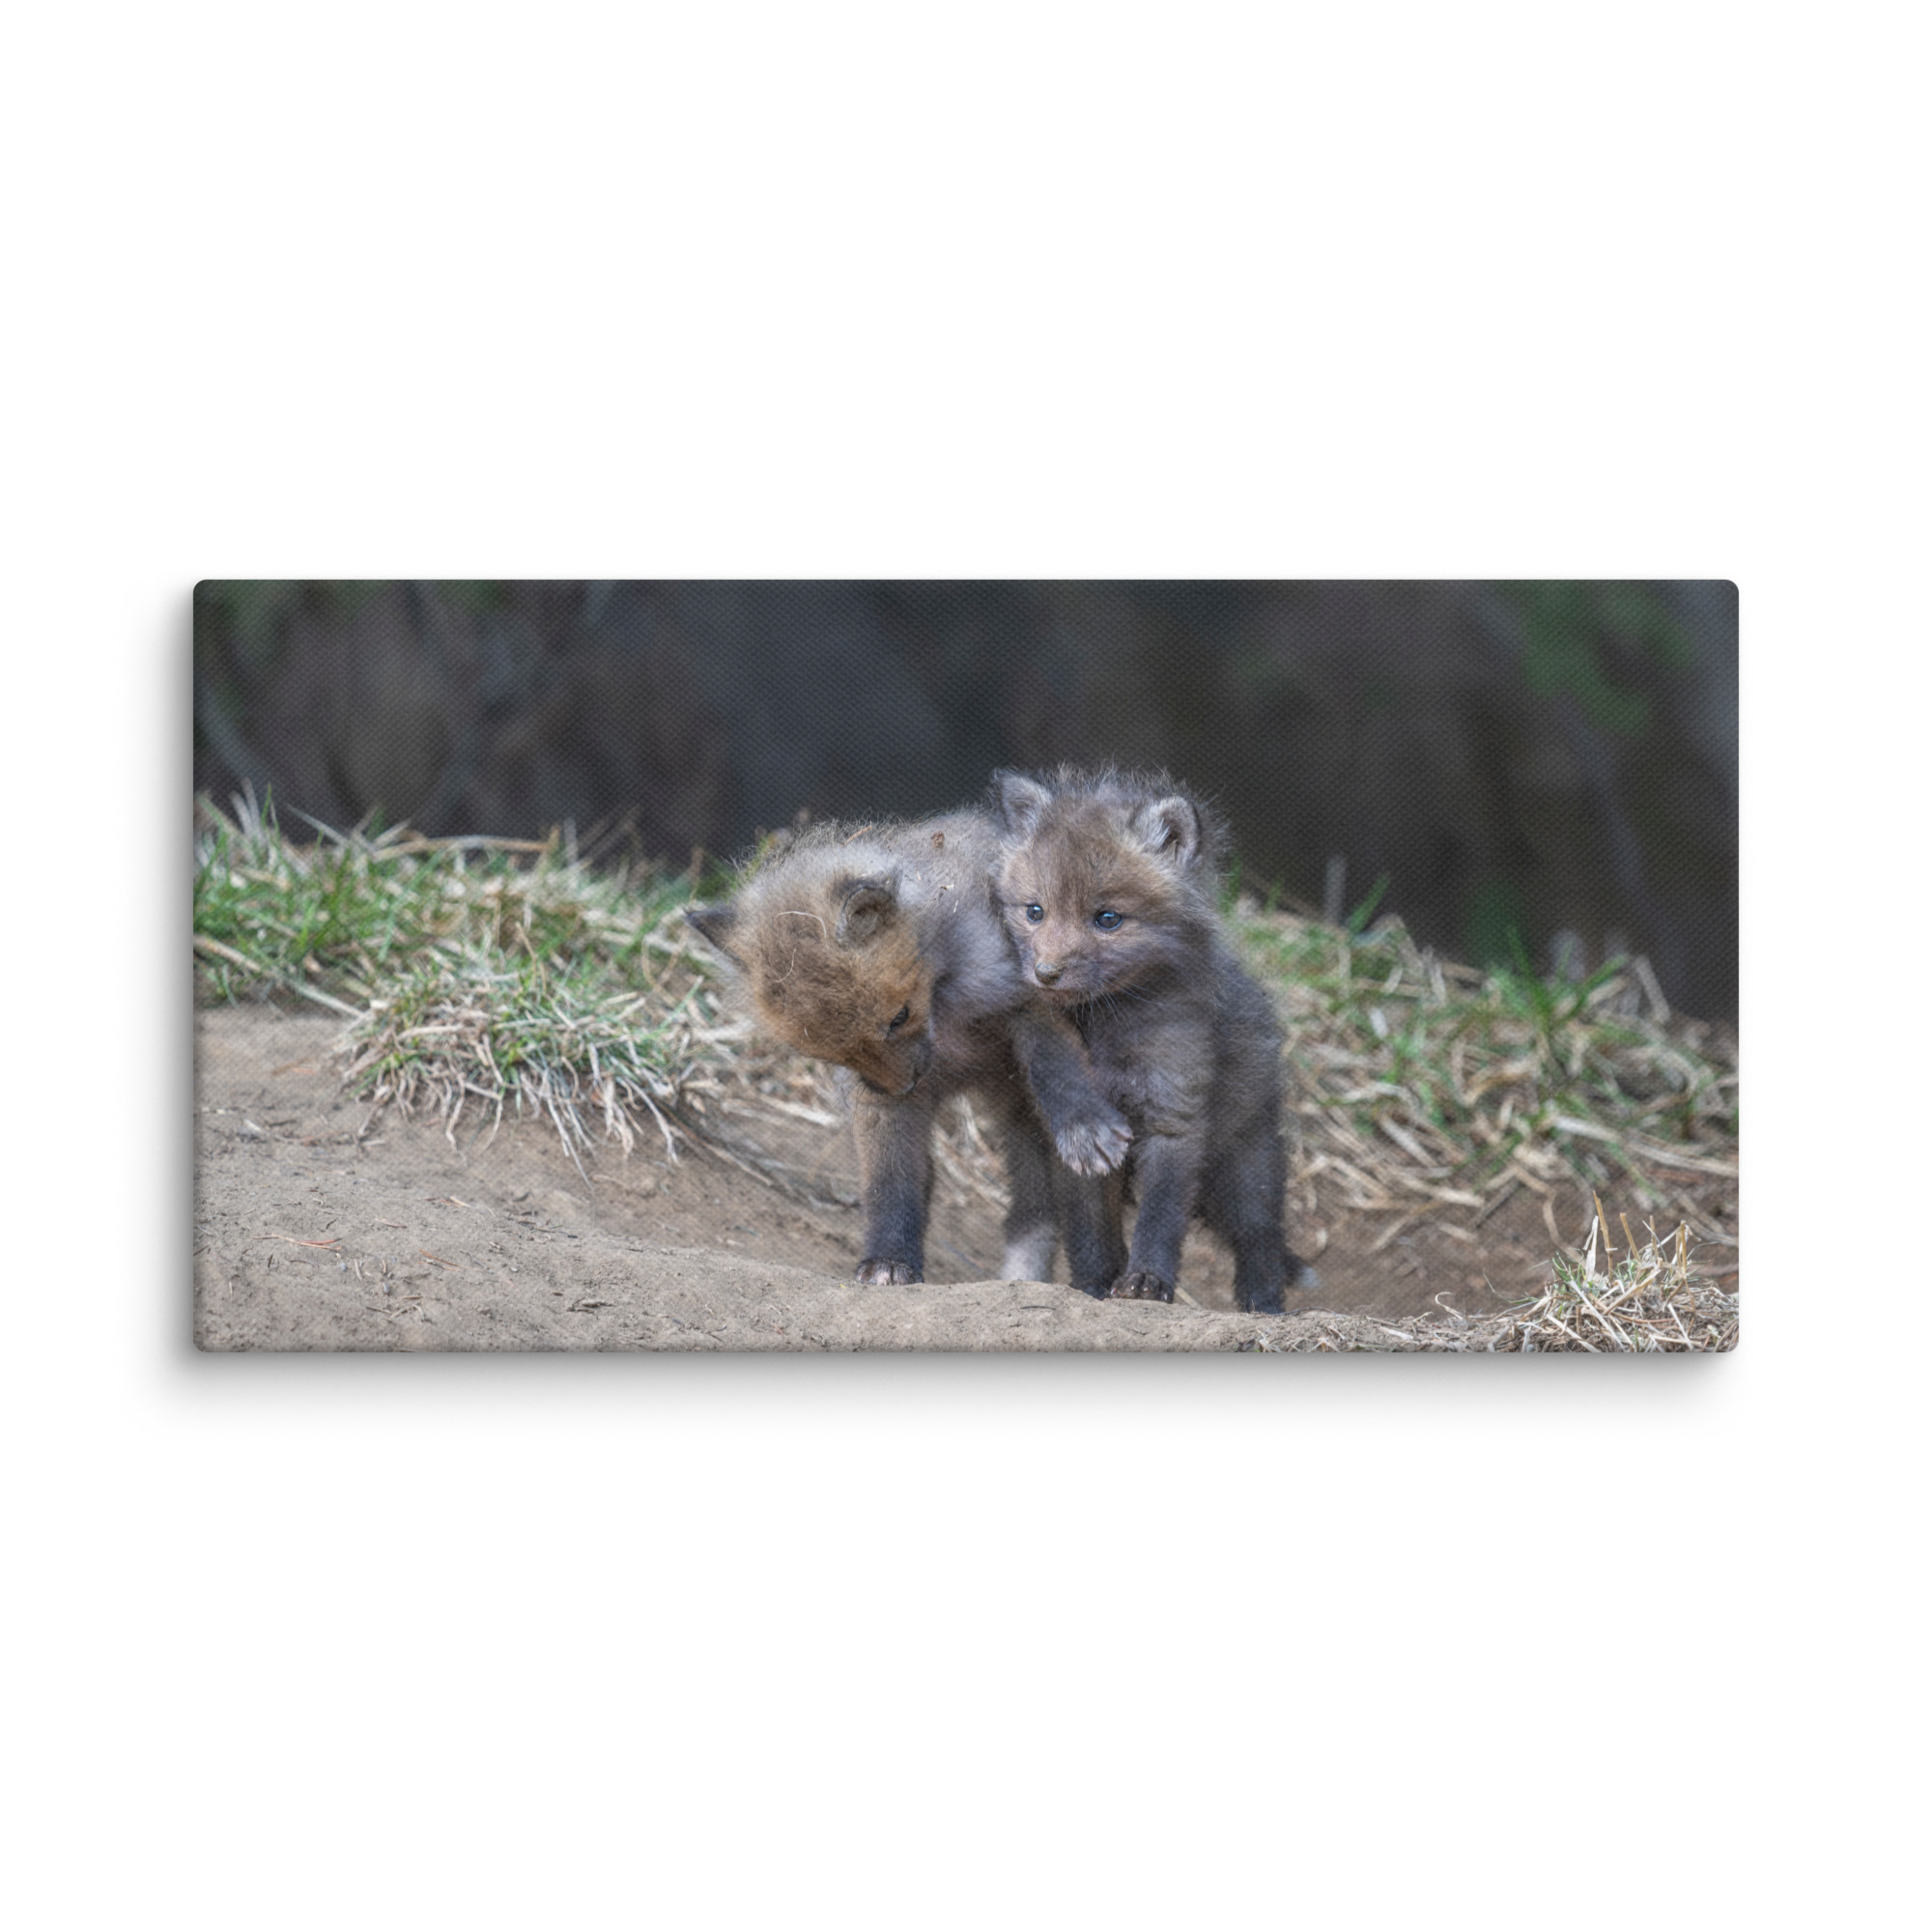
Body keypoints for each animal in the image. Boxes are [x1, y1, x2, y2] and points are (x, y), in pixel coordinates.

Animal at [684, 811, 1132, 1287]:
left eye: (898, 1017)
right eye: (832, 1053)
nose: (903, 1086)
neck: (945, 1010)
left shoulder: (1031, 996)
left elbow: (1056, 1066)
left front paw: (1084, 1125)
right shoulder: (876, 1100)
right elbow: (890, 1182)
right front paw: (889, 1259)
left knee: (1084, 1214)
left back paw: (1098, 1283)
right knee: (1031, 1210)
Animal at [988, 766, 1315, 1313]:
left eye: (1108, 919)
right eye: (1034, 911)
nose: (1045, 973)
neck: (1106, 1027)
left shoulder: (1173, 1116)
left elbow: (1160, 1219)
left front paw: (1146, 1282)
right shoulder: (1083, 1146)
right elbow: (1090, 1230)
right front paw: (1094, 1286)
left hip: (1245, 1164)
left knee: (1261, 1238)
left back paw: (1264, 1307)